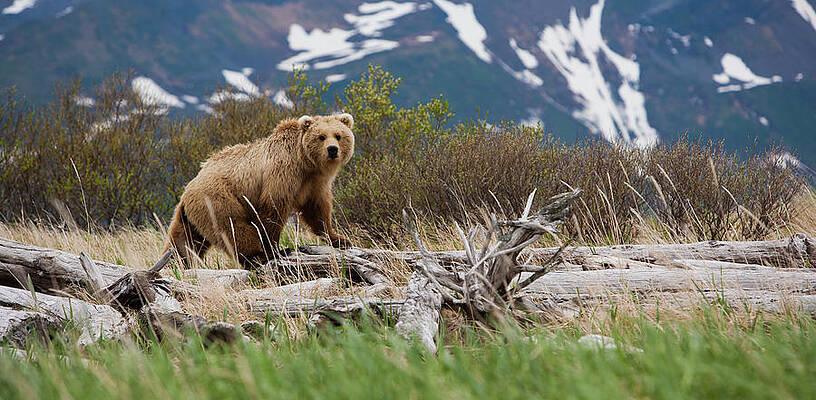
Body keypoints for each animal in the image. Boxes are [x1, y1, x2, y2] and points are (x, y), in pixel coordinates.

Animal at [165, 113, 355, 269]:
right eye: (321, 137)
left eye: (338, 135)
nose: (332, 149)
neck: (306, 163)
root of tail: (188, 188)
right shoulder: (283, 172)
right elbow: (273, 209)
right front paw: (274, 249)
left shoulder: (315, 184)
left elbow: (318, 211)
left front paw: (340, 239)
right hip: (216, 200)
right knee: (233, 227)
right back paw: (257, 255)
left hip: (189, 216)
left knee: (184, 240)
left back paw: (175, 263)